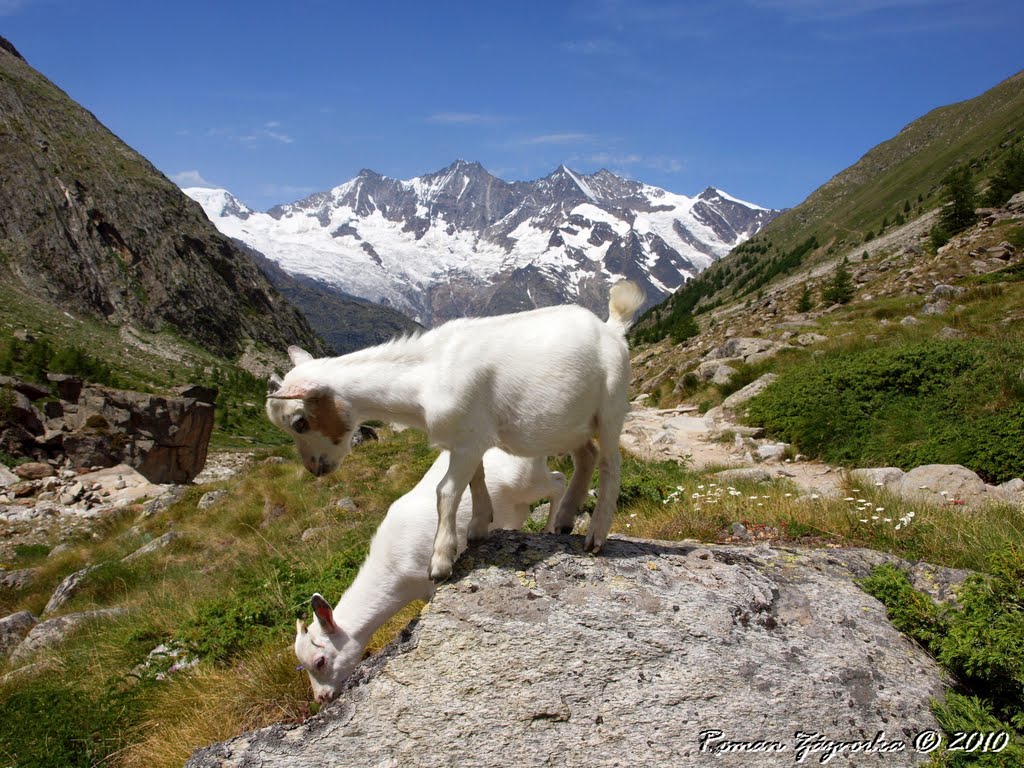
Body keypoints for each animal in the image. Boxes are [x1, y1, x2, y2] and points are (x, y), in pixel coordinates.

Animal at [268, 280, 643, 581]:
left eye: (300, 422)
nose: (315, 468)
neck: (425, 378)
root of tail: (611, 327)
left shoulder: (467, 441)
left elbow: (446, 492)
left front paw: (440, 561)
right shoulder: (467, 439)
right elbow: (475, 480)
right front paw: (478, 527)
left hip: (611, 408)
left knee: (610, 464)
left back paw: (595, 536)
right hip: (571, 423)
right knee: (586, 456)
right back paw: (564, 520)